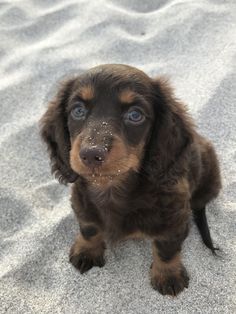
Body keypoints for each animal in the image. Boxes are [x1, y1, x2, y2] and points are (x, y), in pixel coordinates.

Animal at [39, 64, 222, 296]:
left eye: (135, 115)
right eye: (78, 111)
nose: (91, 154)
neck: (111, 188)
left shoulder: (174, 218)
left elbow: (166, 248)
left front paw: (168, 275)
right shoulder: (82, 203)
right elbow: (89, 228)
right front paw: (86, 250)